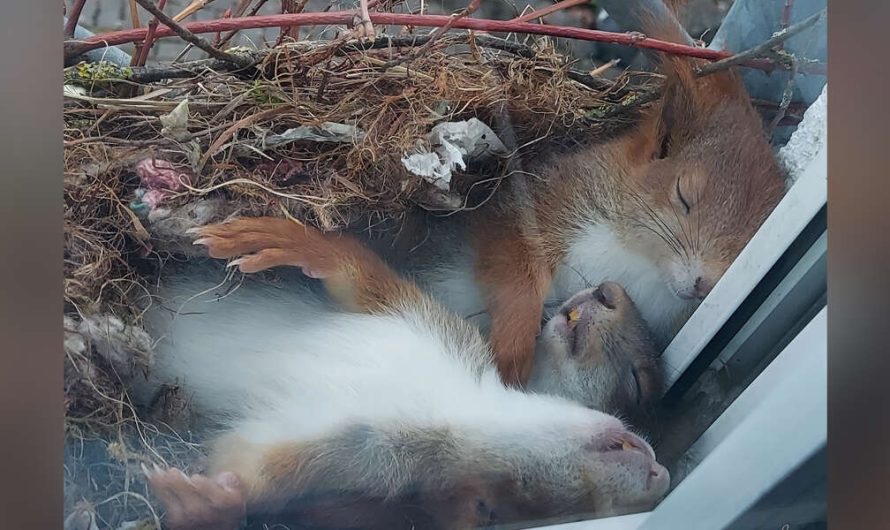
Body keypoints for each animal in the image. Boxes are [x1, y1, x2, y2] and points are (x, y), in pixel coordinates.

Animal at [135, 214, 664, 528]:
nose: (661, 475)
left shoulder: (348, 455)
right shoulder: (426, 322)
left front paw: (207, 504)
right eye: (637, 383)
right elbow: (357, 275)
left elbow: (253, 471)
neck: (454, 403)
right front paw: (290, 240)